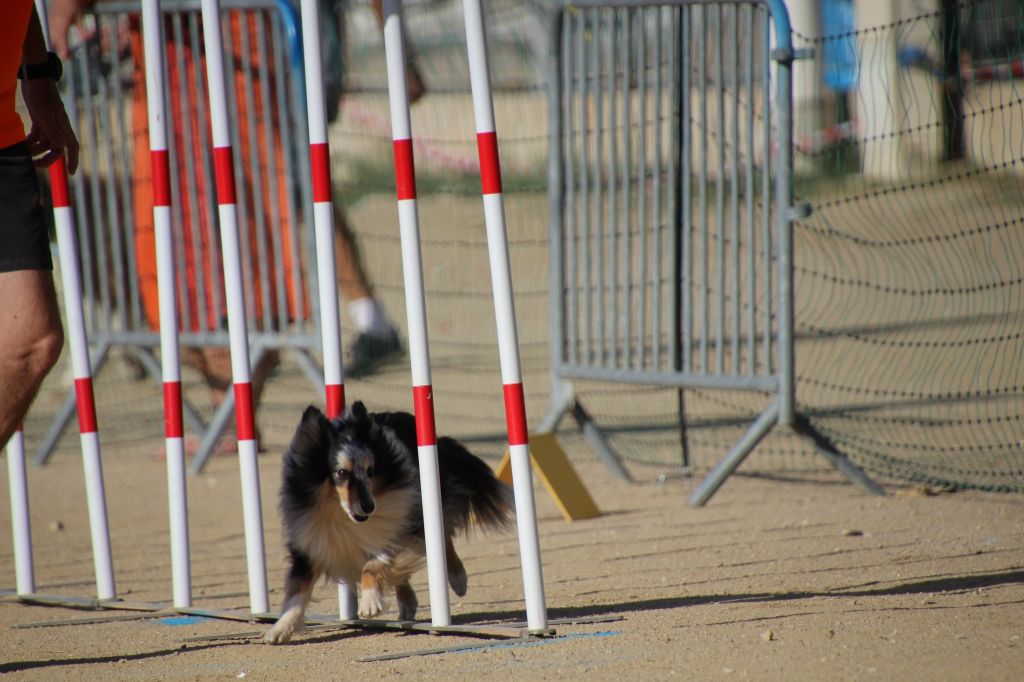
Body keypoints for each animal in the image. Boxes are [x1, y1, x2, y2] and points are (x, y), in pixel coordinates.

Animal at [264, 401, 512, 638]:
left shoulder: (398, 530)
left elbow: (372, 565)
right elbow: (298, 590)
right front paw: (279, 630)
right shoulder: (311, 541)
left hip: (427, 507)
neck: (342, 515)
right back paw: (407, 601)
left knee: (442, 535)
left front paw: (369, 603)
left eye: (370, 470)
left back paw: (458, 578)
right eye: (342, 472)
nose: (369, 507)